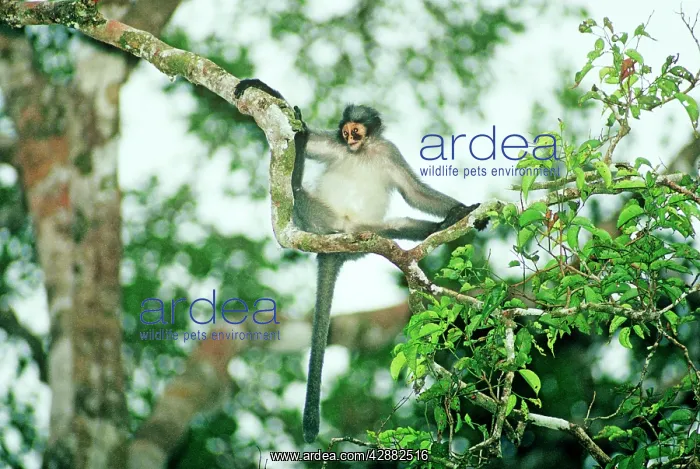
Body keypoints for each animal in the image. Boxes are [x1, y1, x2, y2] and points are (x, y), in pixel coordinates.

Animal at [234, 79, 485, 443]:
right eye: (347, 132)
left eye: (357, 131)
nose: (349, 138)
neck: (362, 152)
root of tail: (335, 243)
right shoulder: (336, 146)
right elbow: (305, 134)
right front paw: (261, 88)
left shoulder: (389, 152)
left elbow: (413, 193)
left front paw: (463, 211)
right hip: (316, 219)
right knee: (295, 190)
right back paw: (296, 163)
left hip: (366, 234)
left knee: (400, 225)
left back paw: (442, 225)